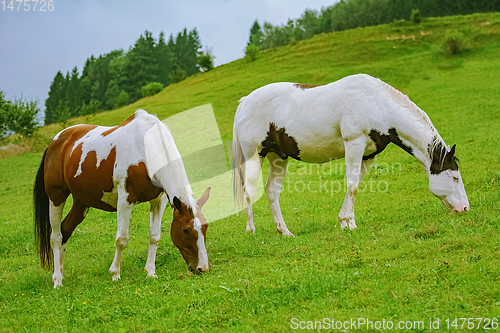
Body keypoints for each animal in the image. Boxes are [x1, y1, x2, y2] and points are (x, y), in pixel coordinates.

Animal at [34, 108, 211, 286]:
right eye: (185, 230)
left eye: (205, 227)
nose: (203, 268)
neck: (145, 148)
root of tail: (55, 141)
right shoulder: (125, 200)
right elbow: (122, 239)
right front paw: (115, 273)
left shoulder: (158, 201)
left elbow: (154, 236)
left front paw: (150, 272)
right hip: (56, 197)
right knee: (56, 237)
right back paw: (57, 280)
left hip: (81, 202)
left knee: (65, 230)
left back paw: (60, 273)